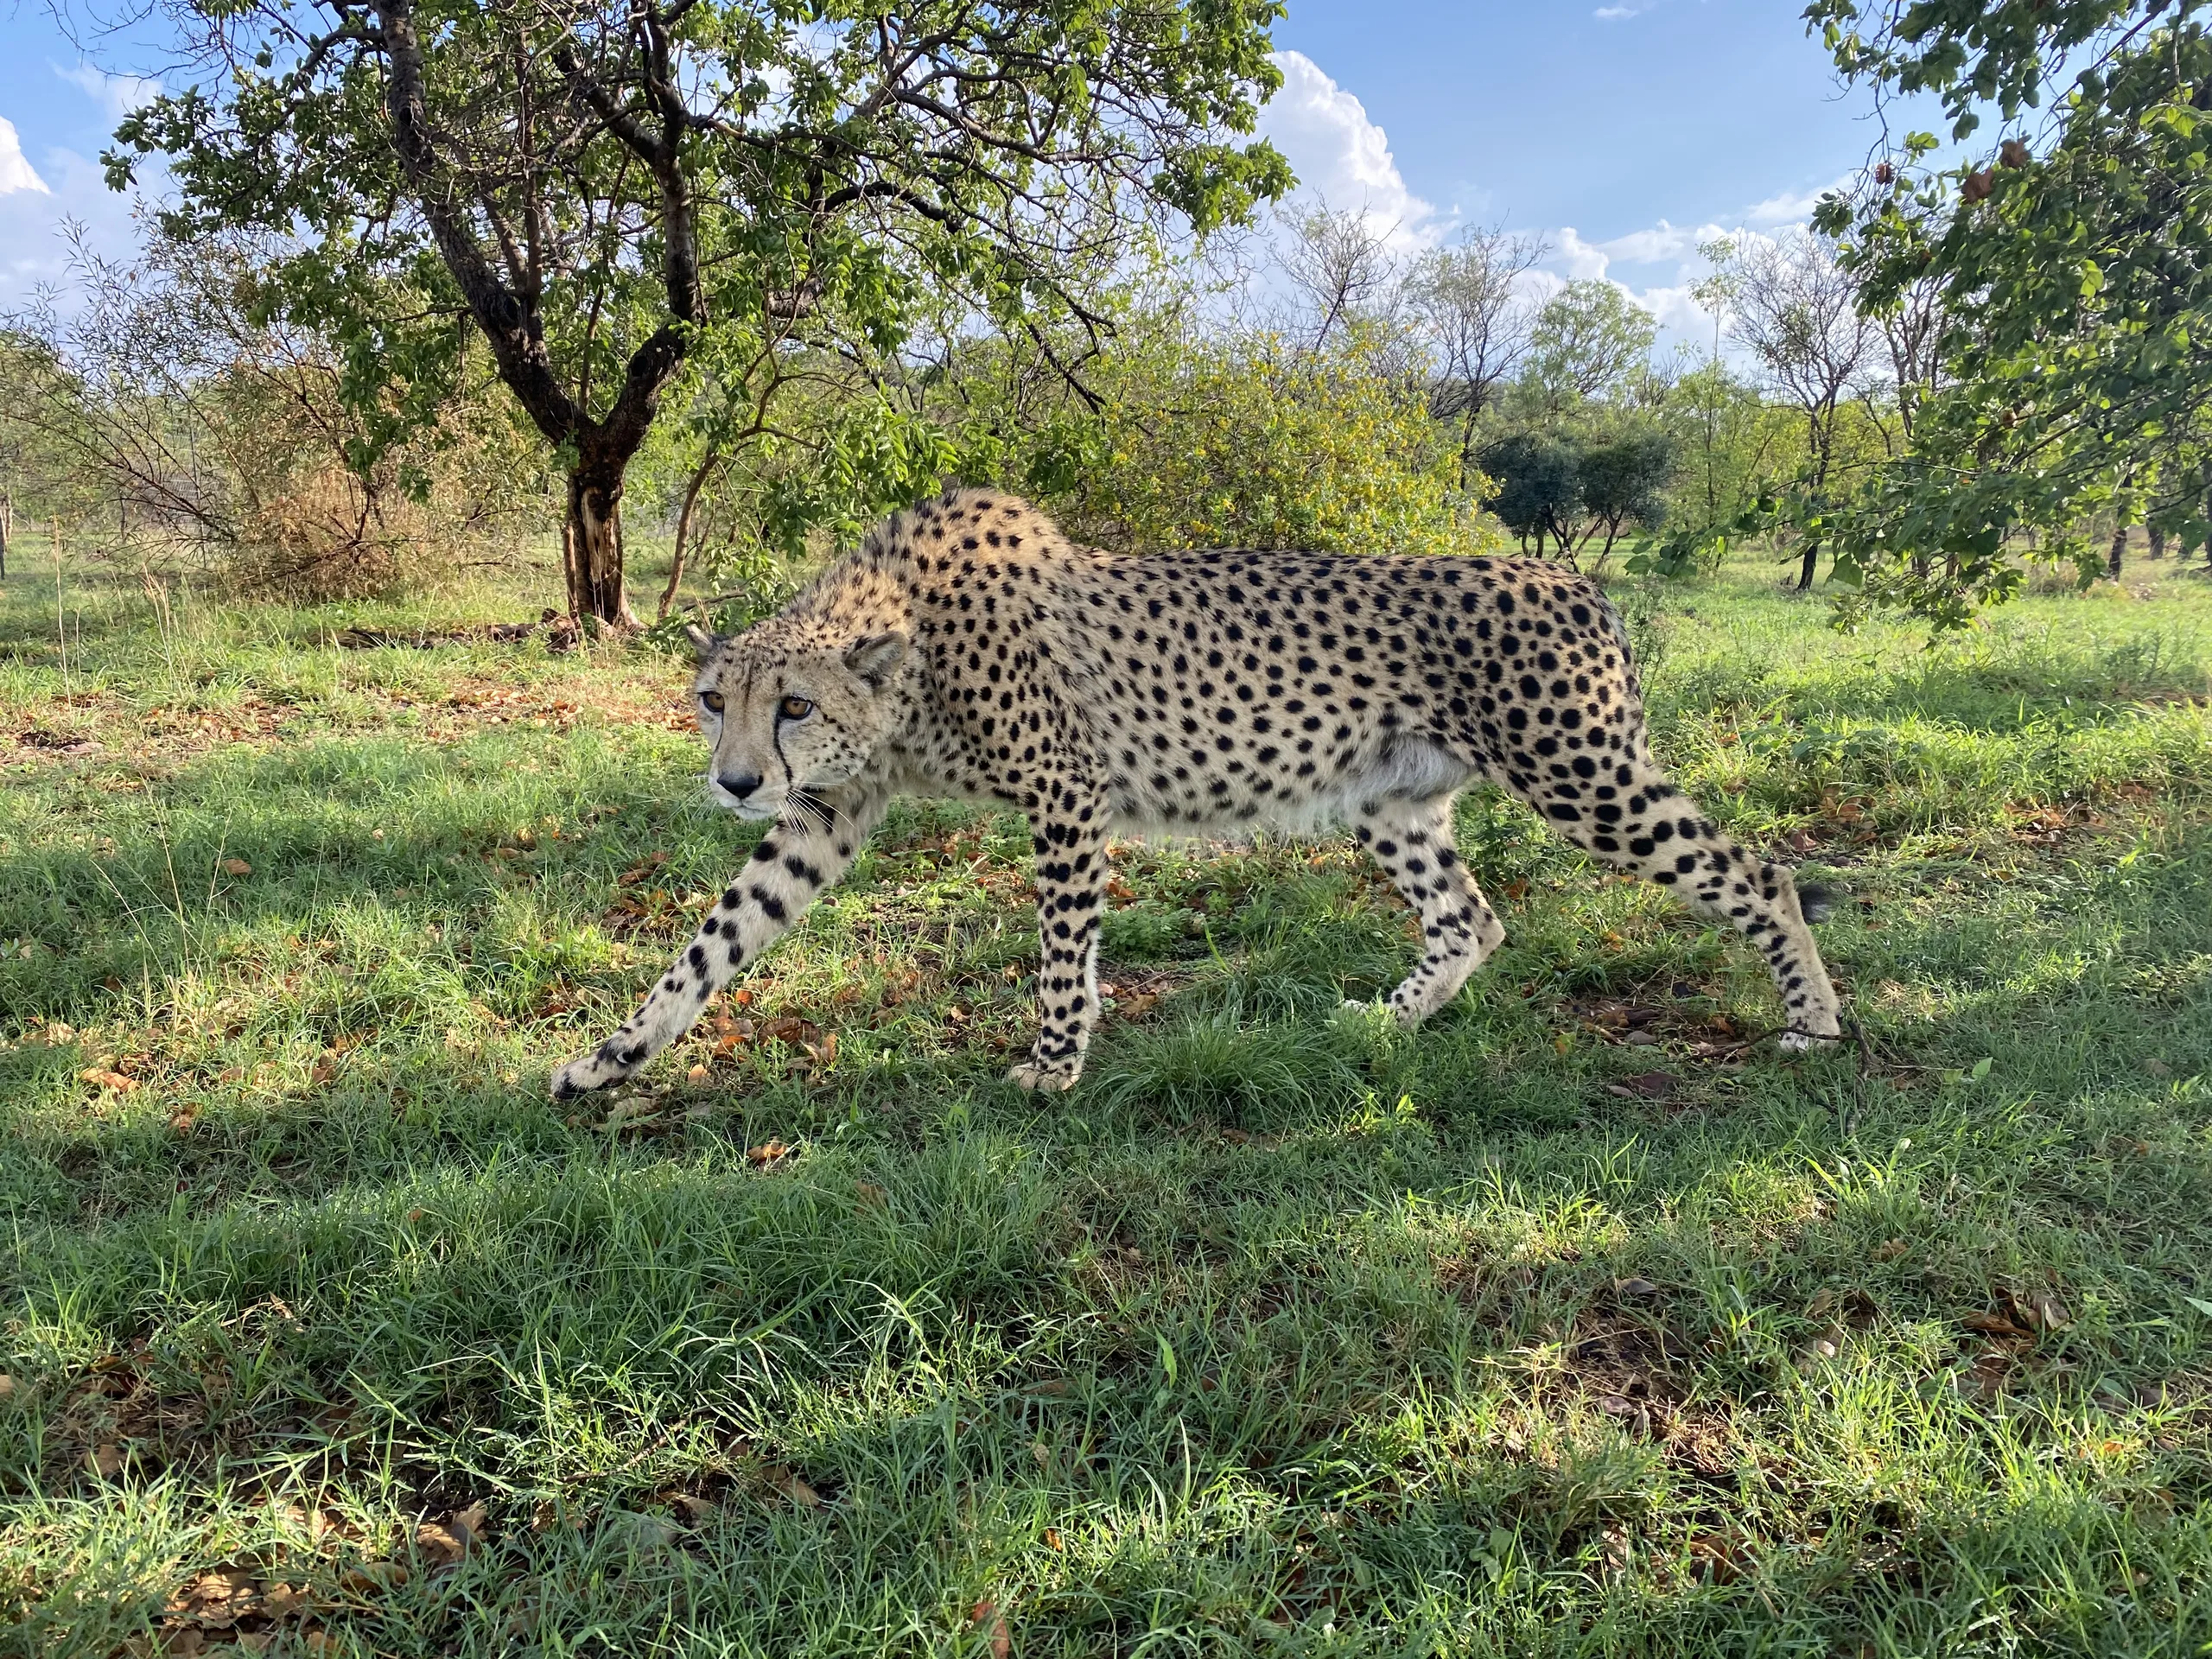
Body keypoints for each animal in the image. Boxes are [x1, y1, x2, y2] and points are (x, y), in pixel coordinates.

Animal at [550, 485, 1841, 1100]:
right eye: (713, 700)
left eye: (793, 707)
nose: (734, 782)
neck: (907, 648)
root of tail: (1576, 580)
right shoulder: (824, 817)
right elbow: (712, 944)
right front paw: (611, 1058)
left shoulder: (1067, 796)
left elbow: (1061, 951)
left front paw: (1055, 1062)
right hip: (1392, 797)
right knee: (1473, 917)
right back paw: (1387, 1022)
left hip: (1583, 773)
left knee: (1757, 869)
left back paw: (1814, 1022)